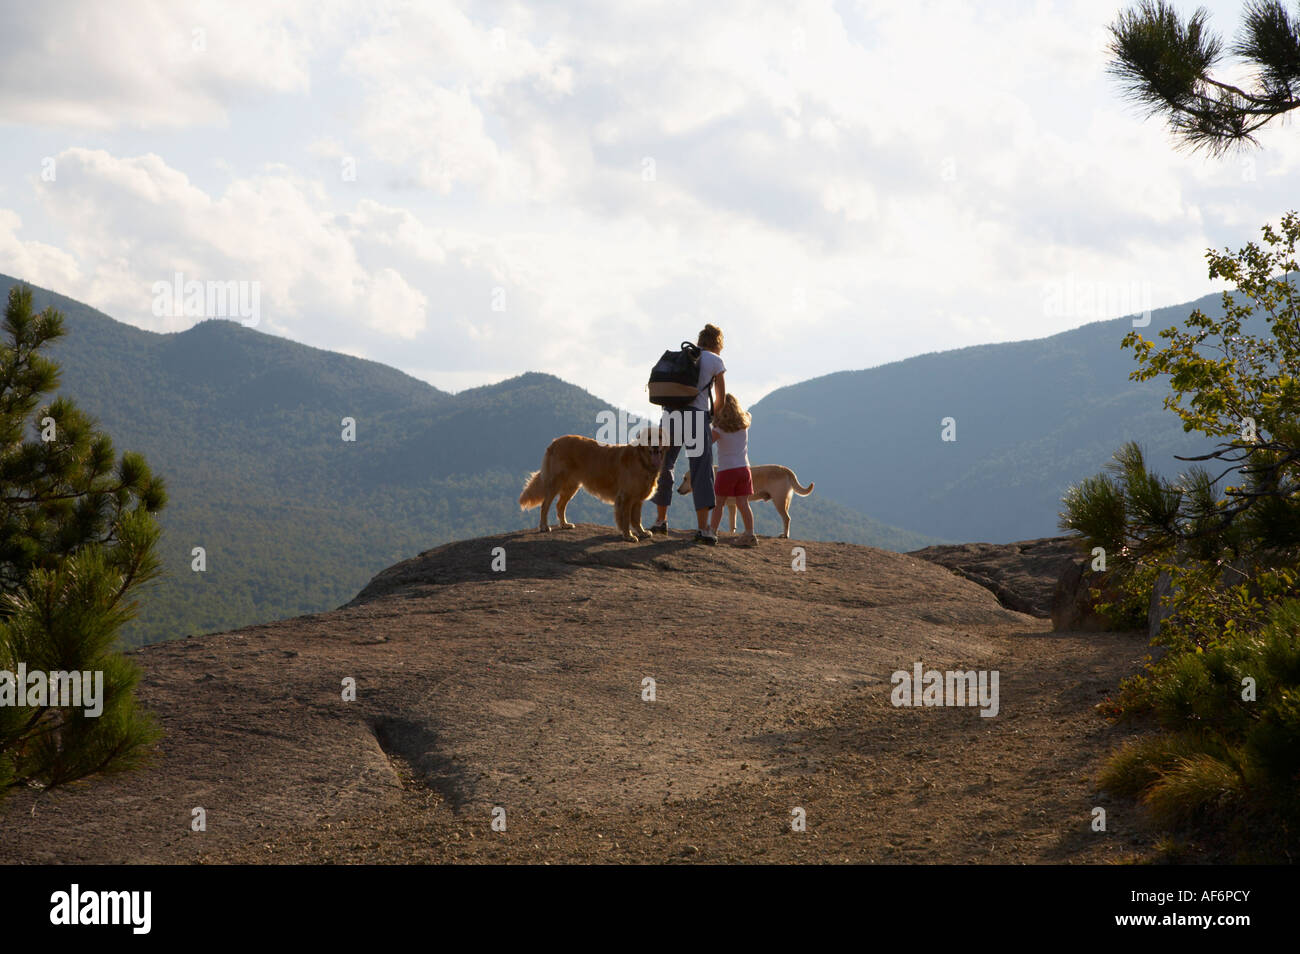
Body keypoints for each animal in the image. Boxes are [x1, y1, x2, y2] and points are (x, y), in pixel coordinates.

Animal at [517, 434, 665, 540]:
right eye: (649, 437)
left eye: (660, 437)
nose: (655, 447)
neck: (642, 460)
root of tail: (554, 442)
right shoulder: (625, 497)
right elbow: (625, 519)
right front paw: (628, 536)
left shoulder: (637, 498)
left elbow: (636, 519)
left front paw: (642, 532)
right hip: (555, 482)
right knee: (545, 505)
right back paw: (544, 526)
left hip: (571, 486)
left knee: (560, 505)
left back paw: (564, 524)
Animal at [681, 467, 811, 540]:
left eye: (685, 478)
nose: (677, 490)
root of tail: (787, 470)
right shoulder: (732, 505)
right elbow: (732, 523)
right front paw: (731, 533)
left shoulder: (720, 504)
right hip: (784, 502)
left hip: (779, 501)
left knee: (787, 518)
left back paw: (785, 535)